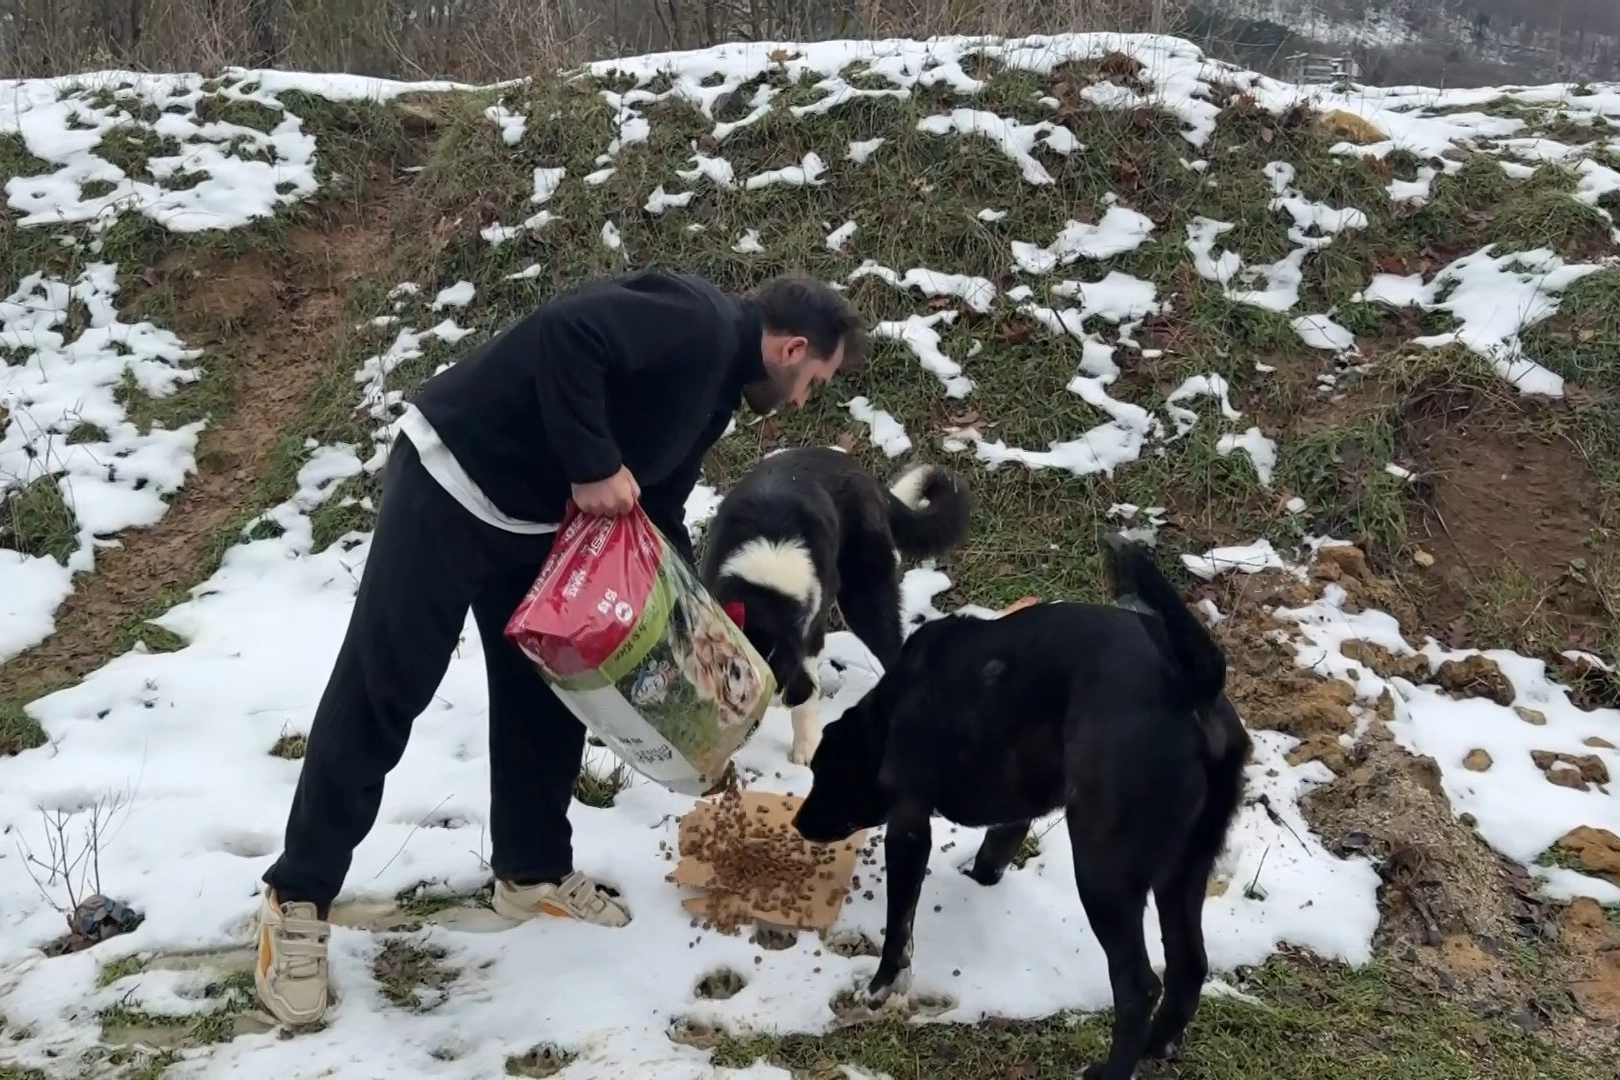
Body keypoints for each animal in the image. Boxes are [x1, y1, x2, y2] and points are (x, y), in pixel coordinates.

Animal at [792, 535, 1251, 1080]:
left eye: (824, 774)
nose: (798, 822)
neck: (890, 710)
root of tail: (1193, 686)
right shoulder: (1015, 810)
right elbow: (993, 853)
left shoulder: (908, 825)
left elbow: (898, 925)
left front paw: (882, 985)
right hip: (1184, 870)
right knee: (1188, 965)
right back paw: (1158, 1045)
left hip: (1104, 871)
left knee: (1139, 987)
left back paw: (1112, 1069)